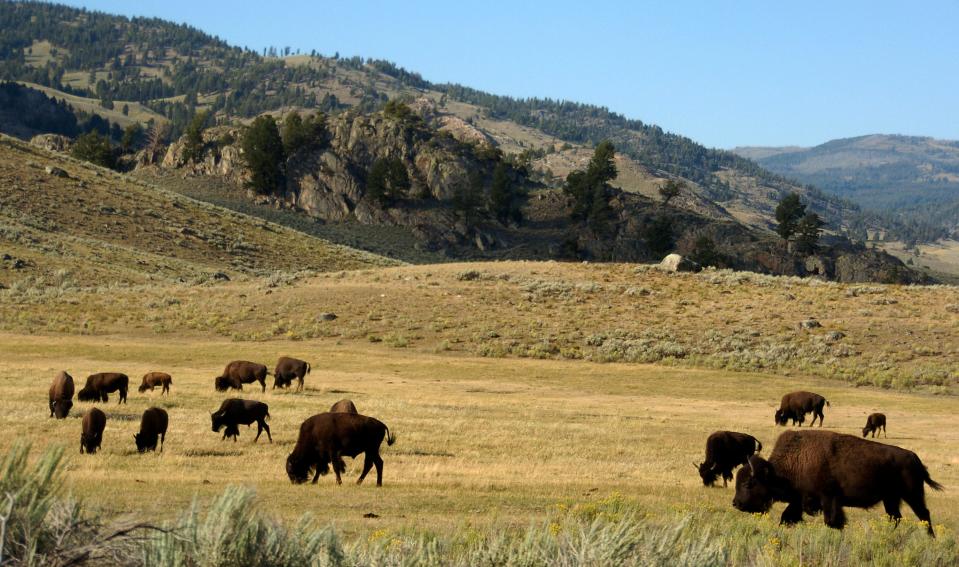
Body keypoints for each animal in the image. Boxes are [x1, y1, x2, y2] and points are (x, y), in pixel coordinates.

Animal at [736, 430, 944, 536]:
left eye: (748, 484)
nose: (736, 504)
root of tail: (915, 458)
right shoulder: (800, 499)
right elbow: (787, 517)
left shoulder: (829, 498)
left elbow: (832, 521)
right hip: (891, 498)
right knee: (896, 517)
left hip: (912, 494)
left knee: (923, 514)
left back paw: (930, 538)